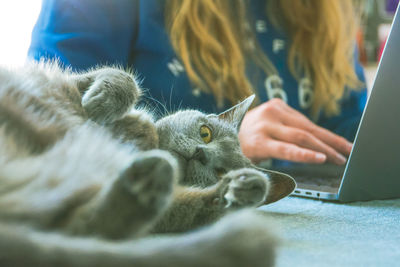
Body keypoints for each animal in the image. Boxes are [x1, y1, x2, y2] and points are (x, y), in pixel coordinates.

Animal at [0, 61, 294, 266]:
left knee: (80, 227)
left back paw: (145, 183)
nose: (200, 153)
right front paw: (101, 102)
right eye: (206, 133)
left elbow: (189, 207)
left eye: (221, 170)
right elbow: (121, 76)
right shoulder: (69, 81)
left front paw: (245, 188)